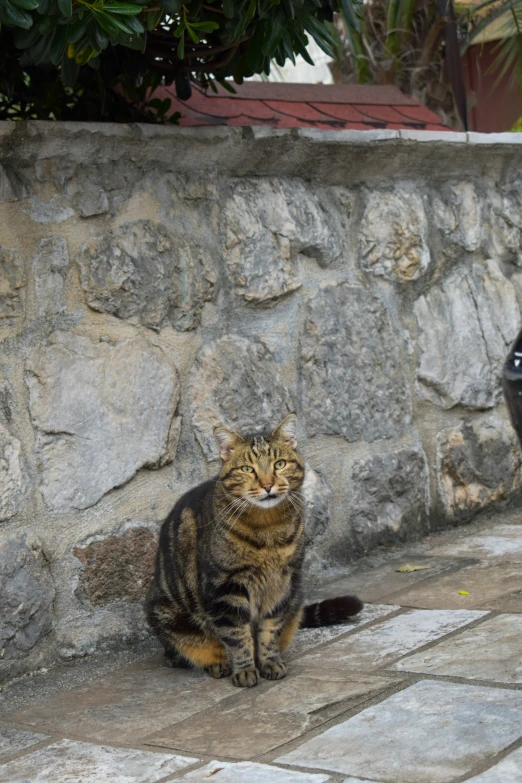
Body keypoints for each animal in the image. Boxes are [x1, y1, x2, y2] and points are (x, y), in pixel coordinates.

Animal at [144, 414, 360, 688]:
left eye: (279, 464)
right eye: (247, 469)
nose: (268, 484)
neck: (268, 528)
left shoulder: (283, 582)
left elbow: (270, 630)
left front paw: (270, 662)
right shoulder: (225, 586)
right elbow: (237, 636)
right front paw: (245, 670)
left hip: (296, 597)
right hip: (166, 613)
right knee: (182, 652)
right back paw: (216, 664)